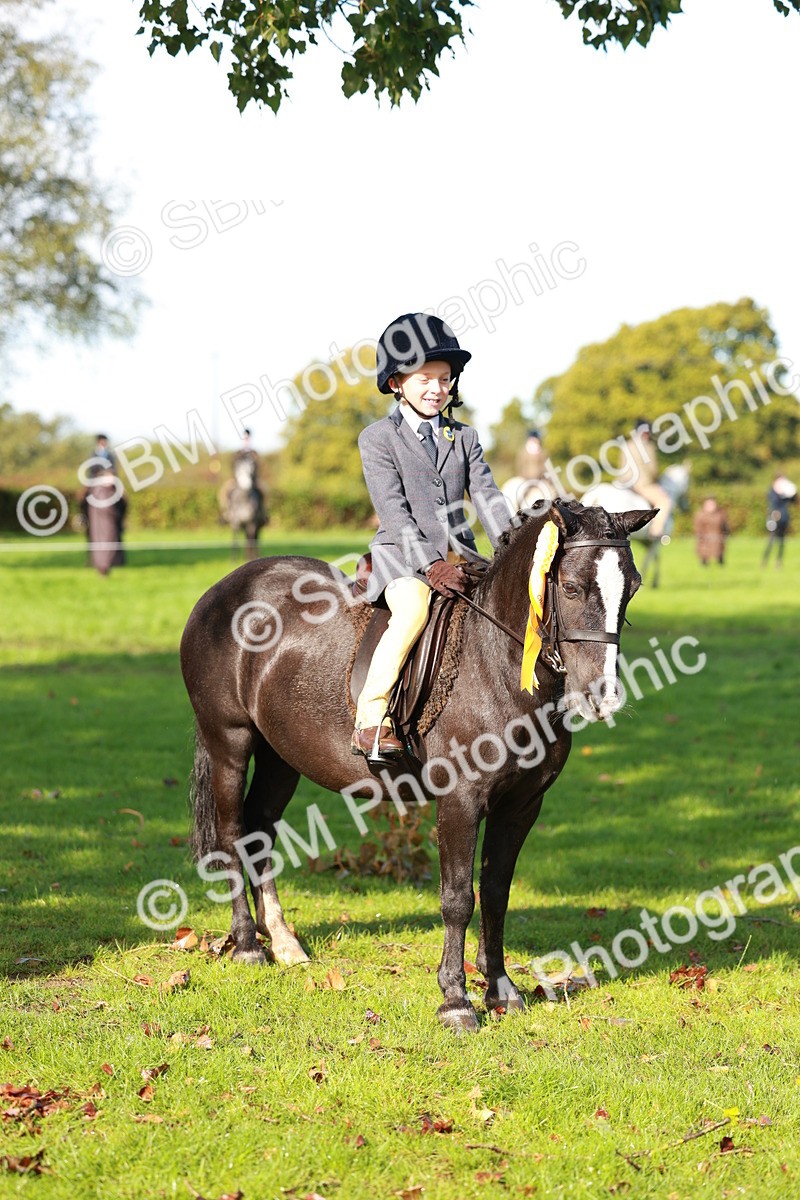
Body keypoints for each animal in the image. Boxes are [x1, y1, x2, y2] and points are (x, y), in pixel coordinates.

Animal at [180, 499, 655, 1032]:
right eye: (571, 587)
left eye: (632, 587)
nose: (603, 697)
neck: (495, 663)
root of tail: (226, 587)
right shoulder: (460, 802)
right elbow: (459, 899)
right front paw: (456, 1001)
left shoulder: (521, 806)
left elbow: (496, 892)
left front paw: (501, 990)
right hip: (229, 742)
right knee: (232, 833)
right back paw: (246, 945)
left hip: (281, 756)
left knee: (260, 829)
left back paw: (283, 942)